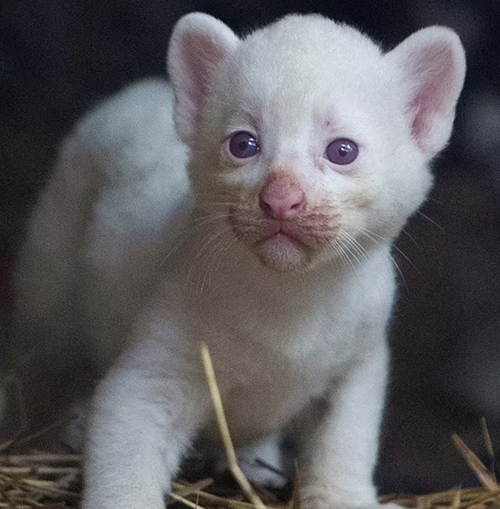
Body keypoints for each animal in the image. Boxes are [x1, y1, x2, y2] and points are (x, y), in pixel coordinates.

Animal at [5, 11, 464, 509]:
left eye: (342, 151)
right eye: (243, 144)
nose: (281, 200)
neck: (291, 302)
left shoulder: (358, 367)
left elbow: (343, 451)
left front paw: (343, 497)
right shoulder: (150, 378)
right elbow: (124, 473)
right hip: (47, 299)